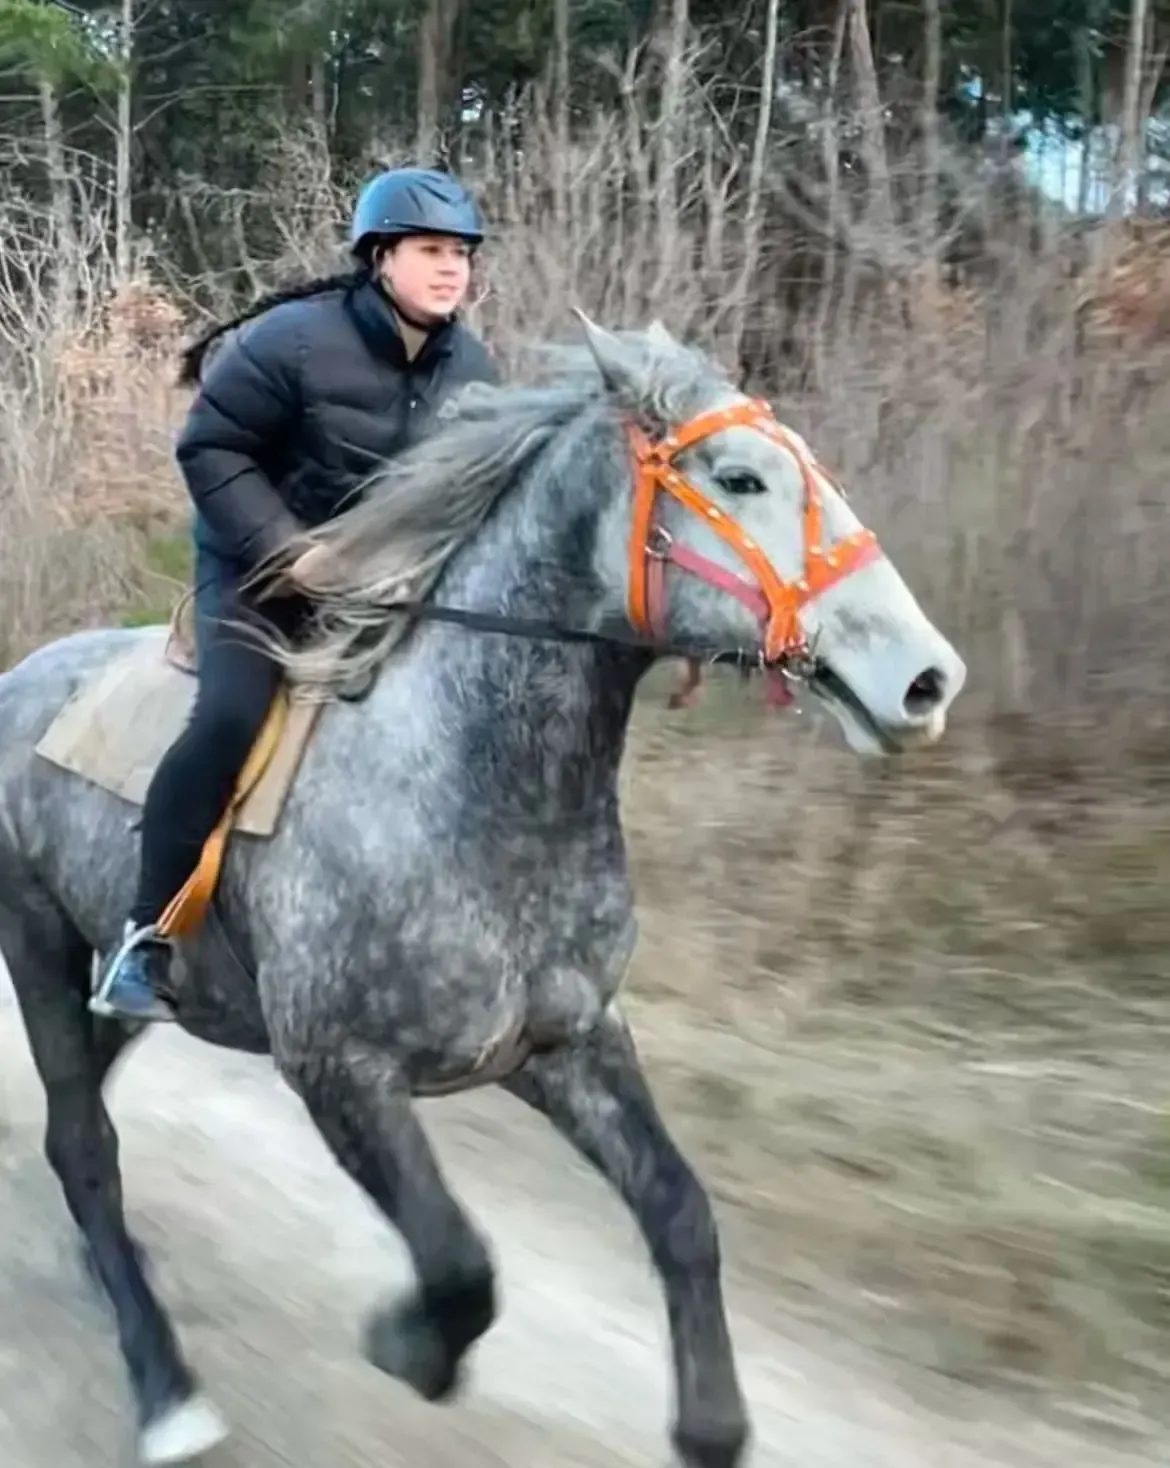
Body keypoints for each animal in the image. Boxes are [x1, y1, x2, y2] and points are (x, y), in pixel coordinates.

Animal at [0, 313, 966, 1467]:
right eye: (739, 477)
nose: (927, 680)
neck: (467, 782)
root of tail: (22, 676)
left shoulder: (569, 1044)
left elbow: (681, 1212)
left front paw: (712, 1427)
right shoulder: (339, 1071)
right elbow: (461, 1263)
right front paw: (407, 1344)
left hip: (126, 985)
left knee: (81, 1125)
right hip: (40, 947)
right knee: (83, 1146)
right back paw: (164, 1389)